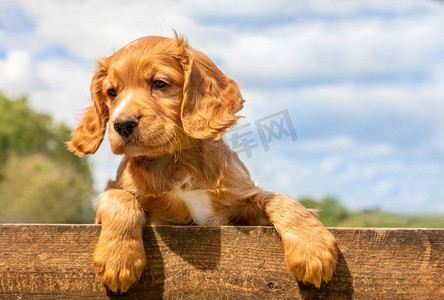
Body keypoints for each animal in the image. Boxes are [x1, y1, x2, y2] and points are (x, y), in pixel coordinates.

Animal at [66, 33, 338, 292]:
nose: (122, 124)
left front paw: (313, 249)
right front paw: (118, 258)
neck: (179, 163)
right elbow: (118, 197)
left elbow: (280, 198)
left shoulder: (239, 202)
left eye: (159, 83)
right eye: (112, 92)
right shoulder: (126, 201)